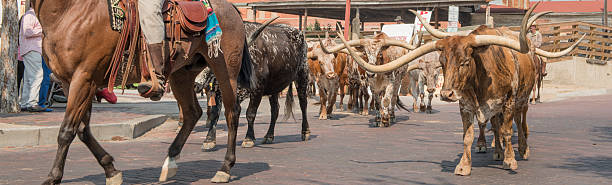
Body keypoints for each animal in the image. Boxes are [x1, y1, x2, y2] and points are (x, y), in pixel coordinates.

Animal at [340, 3, 584, 176]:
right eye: (442, 61)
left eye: (465, 61)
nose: (446, 94)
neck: (481, 80)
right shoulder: (466, 106)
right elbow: (469, 136)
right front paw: (464, 165)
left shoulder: (507, 102)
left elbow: (507, 131)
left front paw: (510, 160)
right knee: (494, 125)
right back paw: (495, 150)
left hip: (522, 100)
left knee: (520, 121)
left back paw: (522, 149)